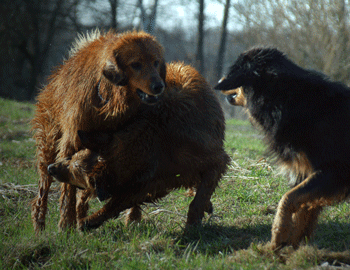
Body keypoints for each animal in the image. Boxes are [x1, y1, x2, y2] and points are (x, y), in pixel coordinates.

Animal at [45, 62, 230, 231]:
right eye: (70, 158)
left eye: (74, 174)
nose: (50, 168)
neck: (154, 139)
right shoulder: (151, 182)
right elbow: (117, 203)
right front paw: (92, 220)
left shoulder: (216, 161)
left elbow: (198, 199)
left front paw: (192, 225)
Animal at [215, 47, 350, 251]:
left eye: (235, 69)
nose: (218, 81)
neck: (282, 98)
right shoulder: (306, 171)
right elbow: (302, 208)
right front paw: (292, 246)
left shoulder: (332, 172)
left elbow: (288, 199)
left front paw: (277, 238)